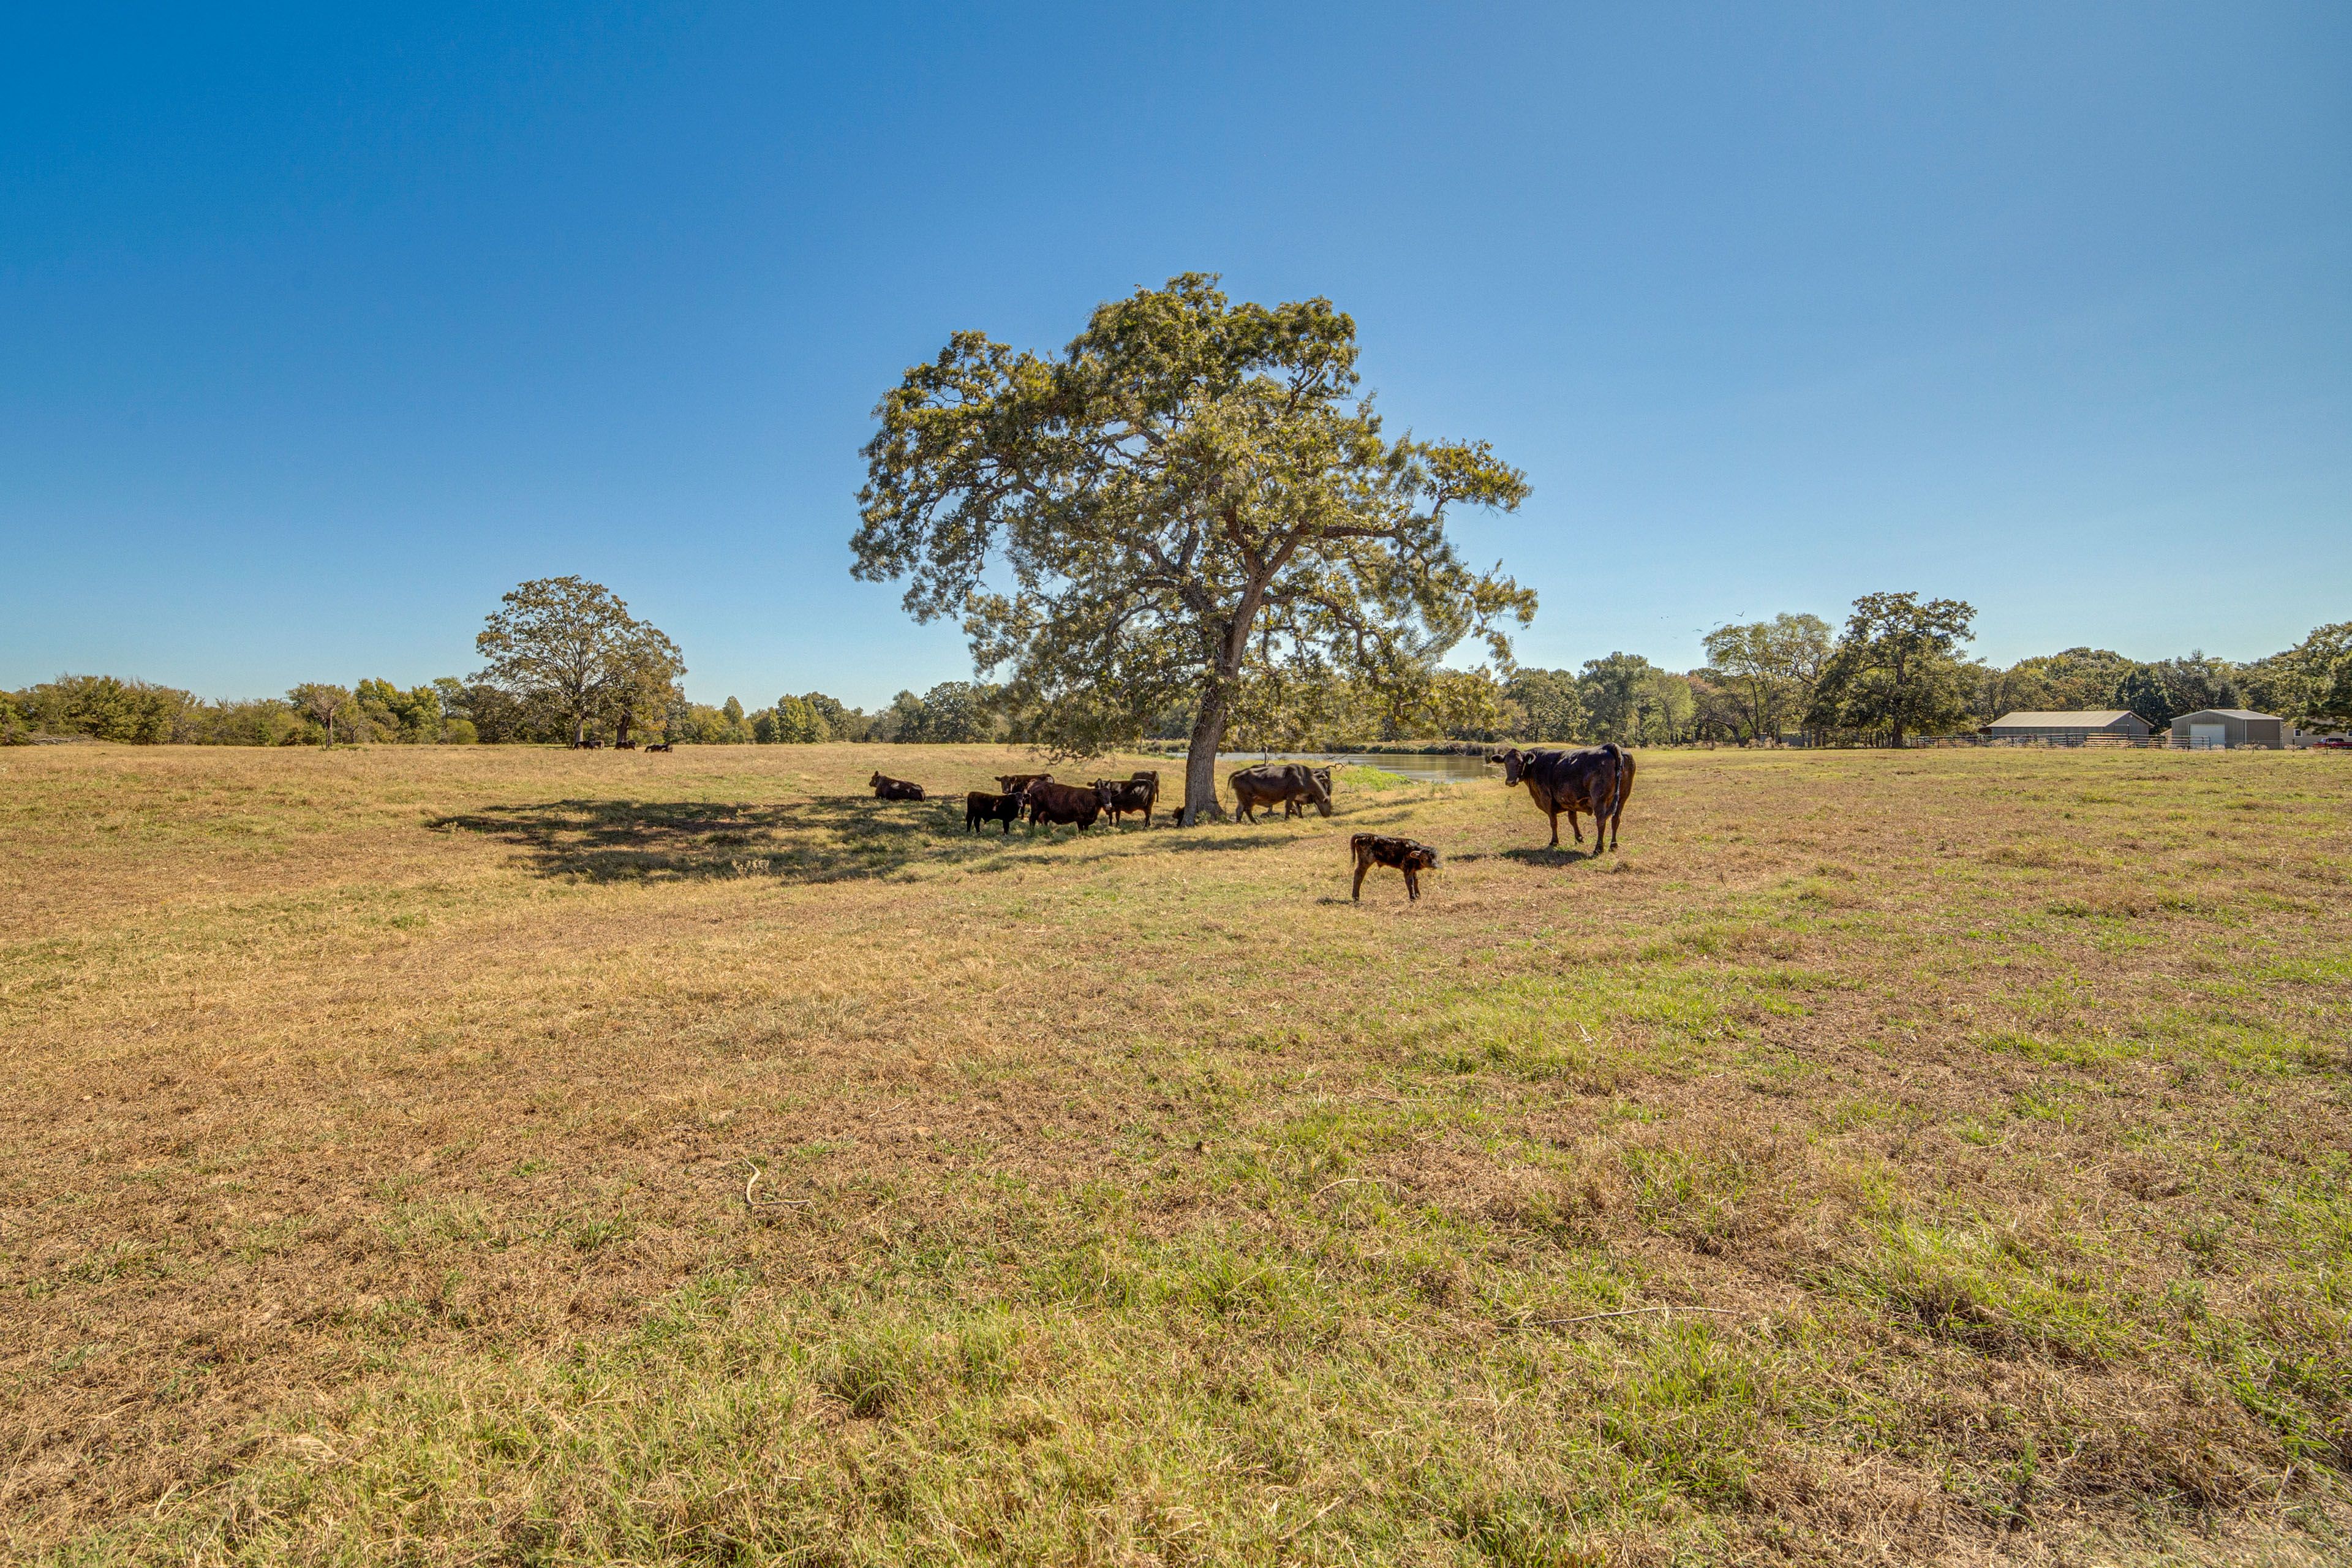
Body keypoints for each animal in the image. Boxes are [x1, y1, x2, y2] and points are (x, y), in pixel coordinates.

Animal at [1023, 779, 1104, 831]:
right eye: (1101, 795)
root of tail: (1034, 783)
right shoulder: (1080, 820)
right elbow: (1081, 830)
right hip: (1036, 811)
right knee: (1032, 820)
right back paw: (1032, 833)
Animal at [1230, 762, 1330, 823]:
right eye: (1328, 804)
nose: (1329, 815)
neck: (1303, 777)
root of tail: (1238, 774)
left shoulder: (1298, 798)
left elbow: (1299, 808)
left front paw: (1301, 817)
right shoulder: (1291, 795)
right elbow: (1288, 807)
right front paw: (1287, 819)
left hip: (1241, 799)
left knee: (1239, 810)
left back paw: (1238, 822)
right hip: (1249, 799)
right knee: (1247, 810)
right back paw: (1255, 822)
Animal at [1351, 834, 1439, 901]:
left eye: (1435, 857)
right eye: (1426, 857)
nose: (1435, 865)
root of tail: (1366, 837)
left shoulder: (1413, 870)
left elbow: (1416, 881)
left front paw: (1418, 896)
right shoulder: (1407, 870)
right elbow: (1410, 883)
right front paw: (1413, 898)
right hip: (1365, 863)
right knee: (1358, 875)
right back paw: (1356, 898)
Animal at [1487, 744, 1634, 851]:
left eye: (1520, 763)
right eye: (1506, 763)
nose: (1510, 782)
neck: (1536, 765)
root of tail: (1609, 746)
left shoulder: (1547, 799)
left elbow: (1553, 822)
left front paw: (1554, 842)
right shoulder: (1570, 800)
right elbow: (1573, 820)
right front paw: (1579, 838)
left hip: (1600, 798)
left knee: (1601, 821)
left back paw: (1598, 849)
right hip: (1623, 797)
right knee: (1616, 819)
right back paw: (1613, 845)